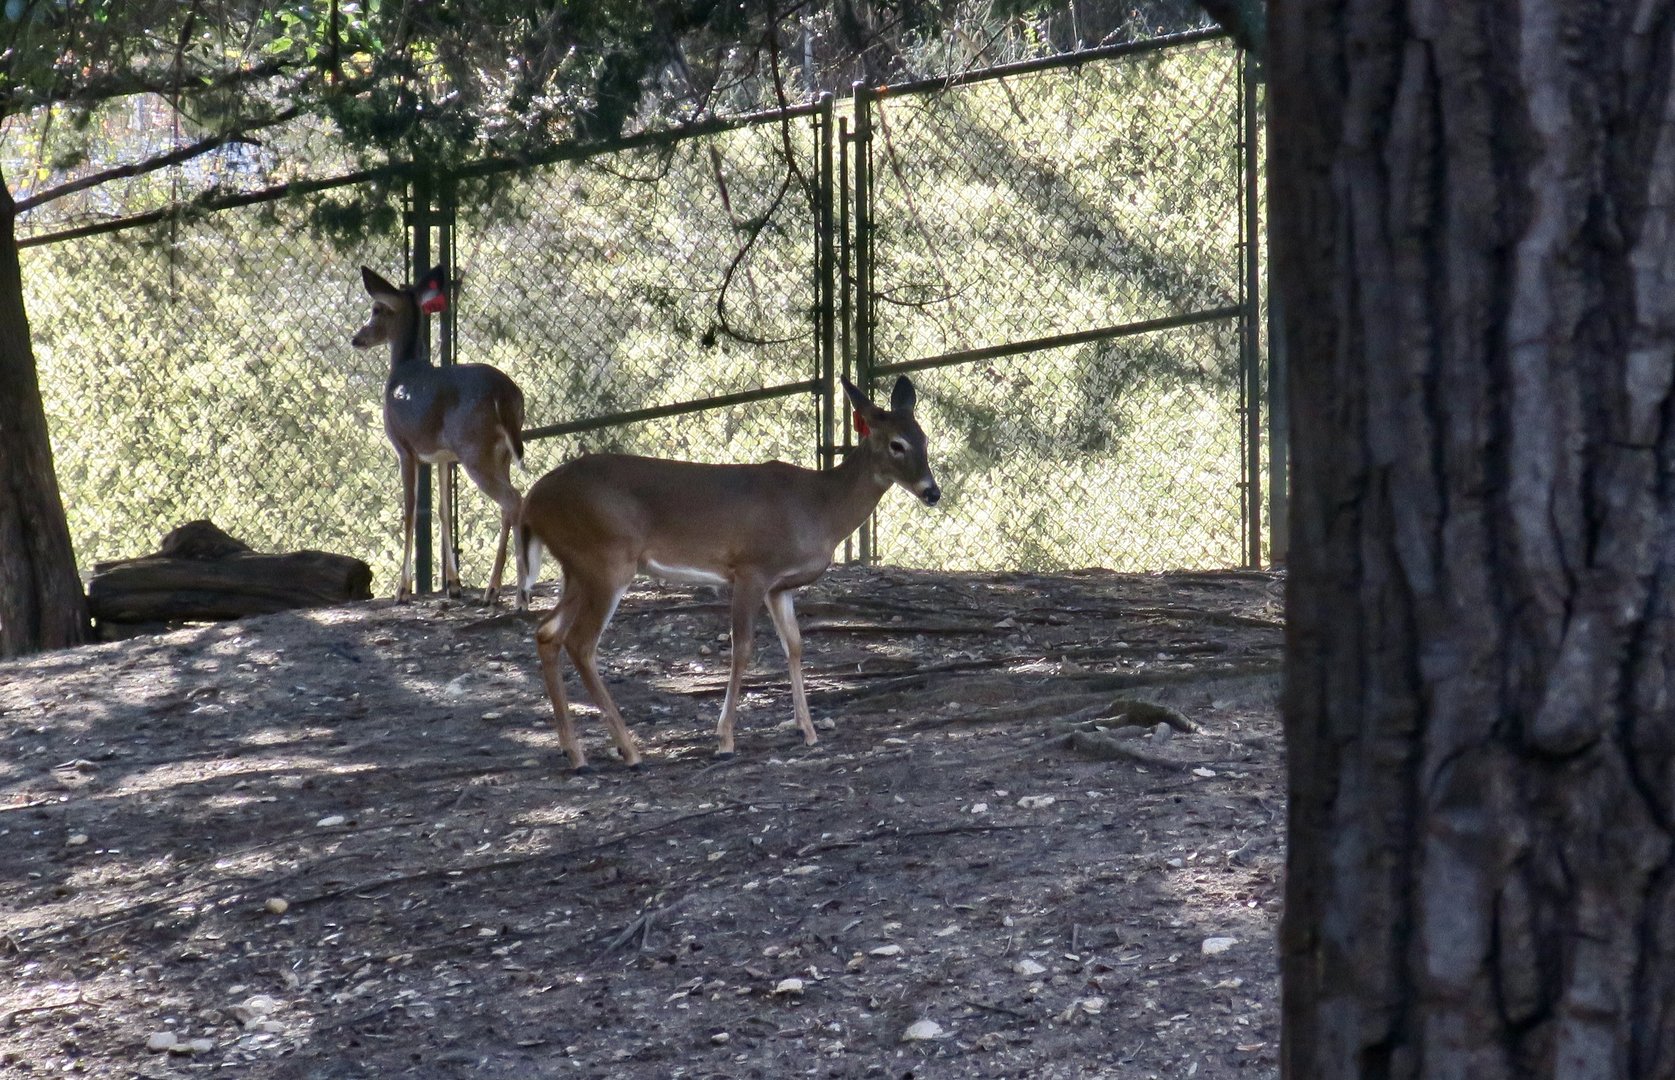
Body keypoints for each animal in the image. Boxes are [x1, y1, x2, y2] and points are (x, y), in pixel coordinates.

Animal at [351, 265, 529, 609]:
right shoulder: (444, 456)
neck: (402, 372)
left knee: (514, 499)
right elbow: (444, 511)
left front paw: (402, 590)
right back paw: (495, 591)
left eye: (377, 309)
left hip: (476, 449)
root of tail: (505, 393)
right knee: (510, 504)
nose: (356, 338)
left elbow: (410, 513)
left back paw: (516, 596)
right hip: (499, 453)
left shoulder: (405, 448)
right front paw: (453, 585)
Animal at [517, 375, 940, 770]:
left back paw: (576, 753)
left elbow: (794, 645)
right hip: (608, 560)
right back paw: (630, 751)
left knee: (547, 632)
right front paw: (725, 740)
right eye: (896, 444)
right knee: (580, 642)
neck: (818, 508)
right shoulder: (751, 569)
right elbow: (743, 648)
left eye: (924, 439)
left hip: (578, 568)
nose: (932, 492)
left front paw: (808, 730)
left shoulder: (779, 586)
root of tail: (531, 502)